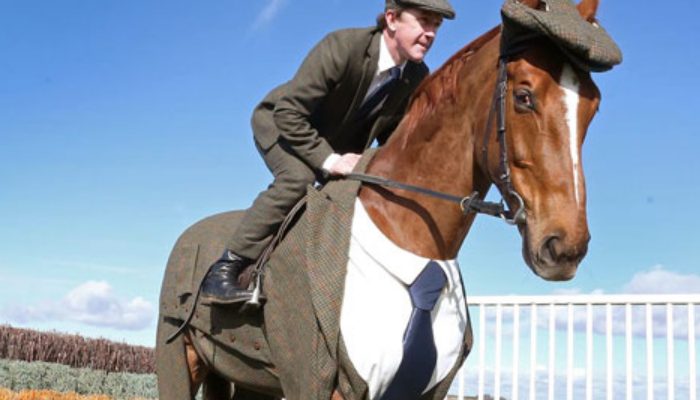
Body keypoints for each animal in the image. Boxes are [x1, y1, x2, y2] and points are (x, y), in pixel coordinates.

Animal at [156, 0, 620, 399]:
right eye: (524, 96)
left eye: (593, 107)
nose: (565, 247)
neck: (410, 239)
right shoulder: (329, 383)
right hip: (180, 355)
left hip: (247, 377)